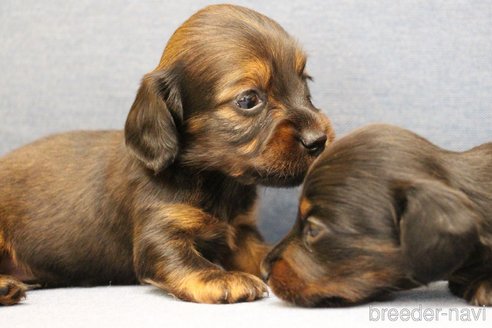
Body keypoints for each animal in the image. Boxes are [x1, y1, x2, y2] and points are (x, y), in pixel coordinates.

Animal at [0, 3, 332, 304]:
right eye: (249, 100)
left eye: (306, 83)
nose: (319, 140)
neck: (216, 180)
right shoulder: (160, 230)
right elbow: (184, 259)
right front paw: (222, 278)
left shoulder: (240, 232)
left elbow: (263, 253)